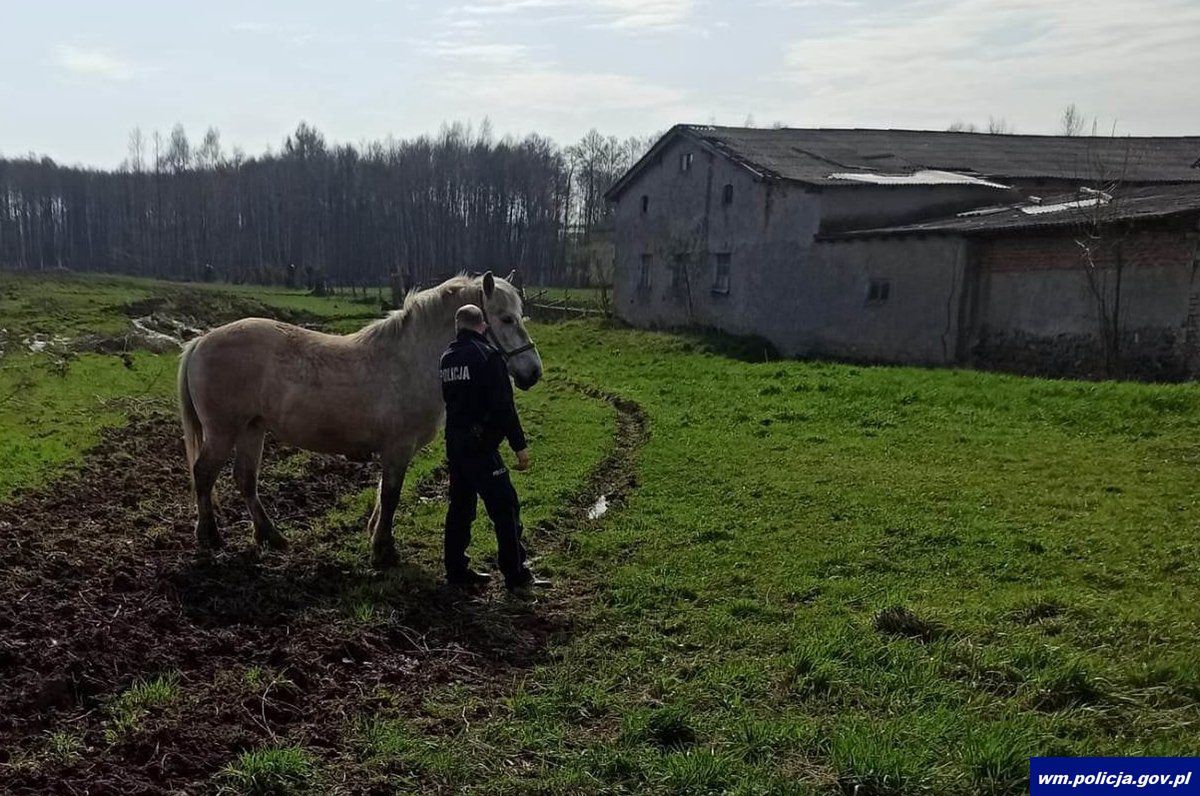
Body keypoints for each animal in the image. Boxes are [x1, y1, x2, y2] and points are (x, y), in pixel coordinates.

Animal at [176, 271, 544, 569]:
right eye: (506, 319)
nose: (533, 373)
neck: (409, 361)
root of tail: (200, 341)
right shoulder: (397, 448)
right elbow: (391, 495)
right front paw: (383, 550)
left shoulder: (396, 450)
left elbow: (384, 493)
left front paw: (376, 537)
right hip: (223, 431)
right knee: (204, 474)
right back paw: (210, 536)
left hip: (252, 429)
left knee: (245, 480)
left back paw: (272, 537)